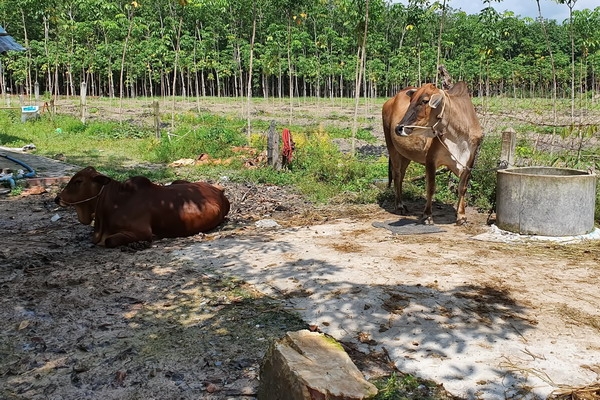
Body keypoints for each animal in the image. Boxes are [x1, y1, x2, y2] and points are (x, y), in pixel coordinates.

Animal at [382, 82, 486, 225]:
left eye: (425, 101)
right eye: (411, 101)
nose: (398, 128)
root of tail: (390, 100)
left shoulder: (470, 161)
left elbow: (462, 188)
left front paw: (461, 216)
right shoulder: (431, 159)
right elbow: (431, 187)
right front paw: (427, 216)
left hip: (405, 154)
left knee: (401, 175)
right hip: (392, 148)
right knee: (397, 175)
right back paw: (400, 206)